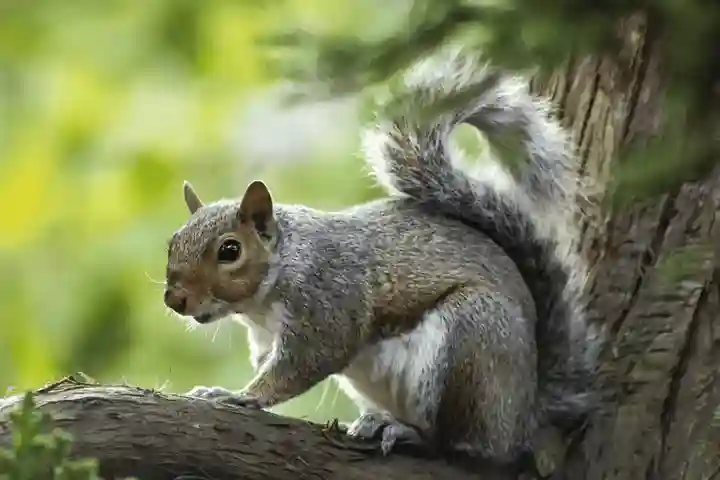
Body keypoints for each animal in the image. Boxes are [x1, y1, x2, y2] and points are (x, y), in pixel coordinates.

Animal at [163, 48, 599, 465]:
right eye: (172, 242)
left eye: (230, 250)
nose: (174, 299)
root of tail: (525, 415)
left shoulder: (328, 302)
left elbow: (302, 364)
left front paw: (241, 395)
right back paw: (379, 421)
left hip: (475, 344)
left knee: (463, 444)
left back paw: (413, 435)